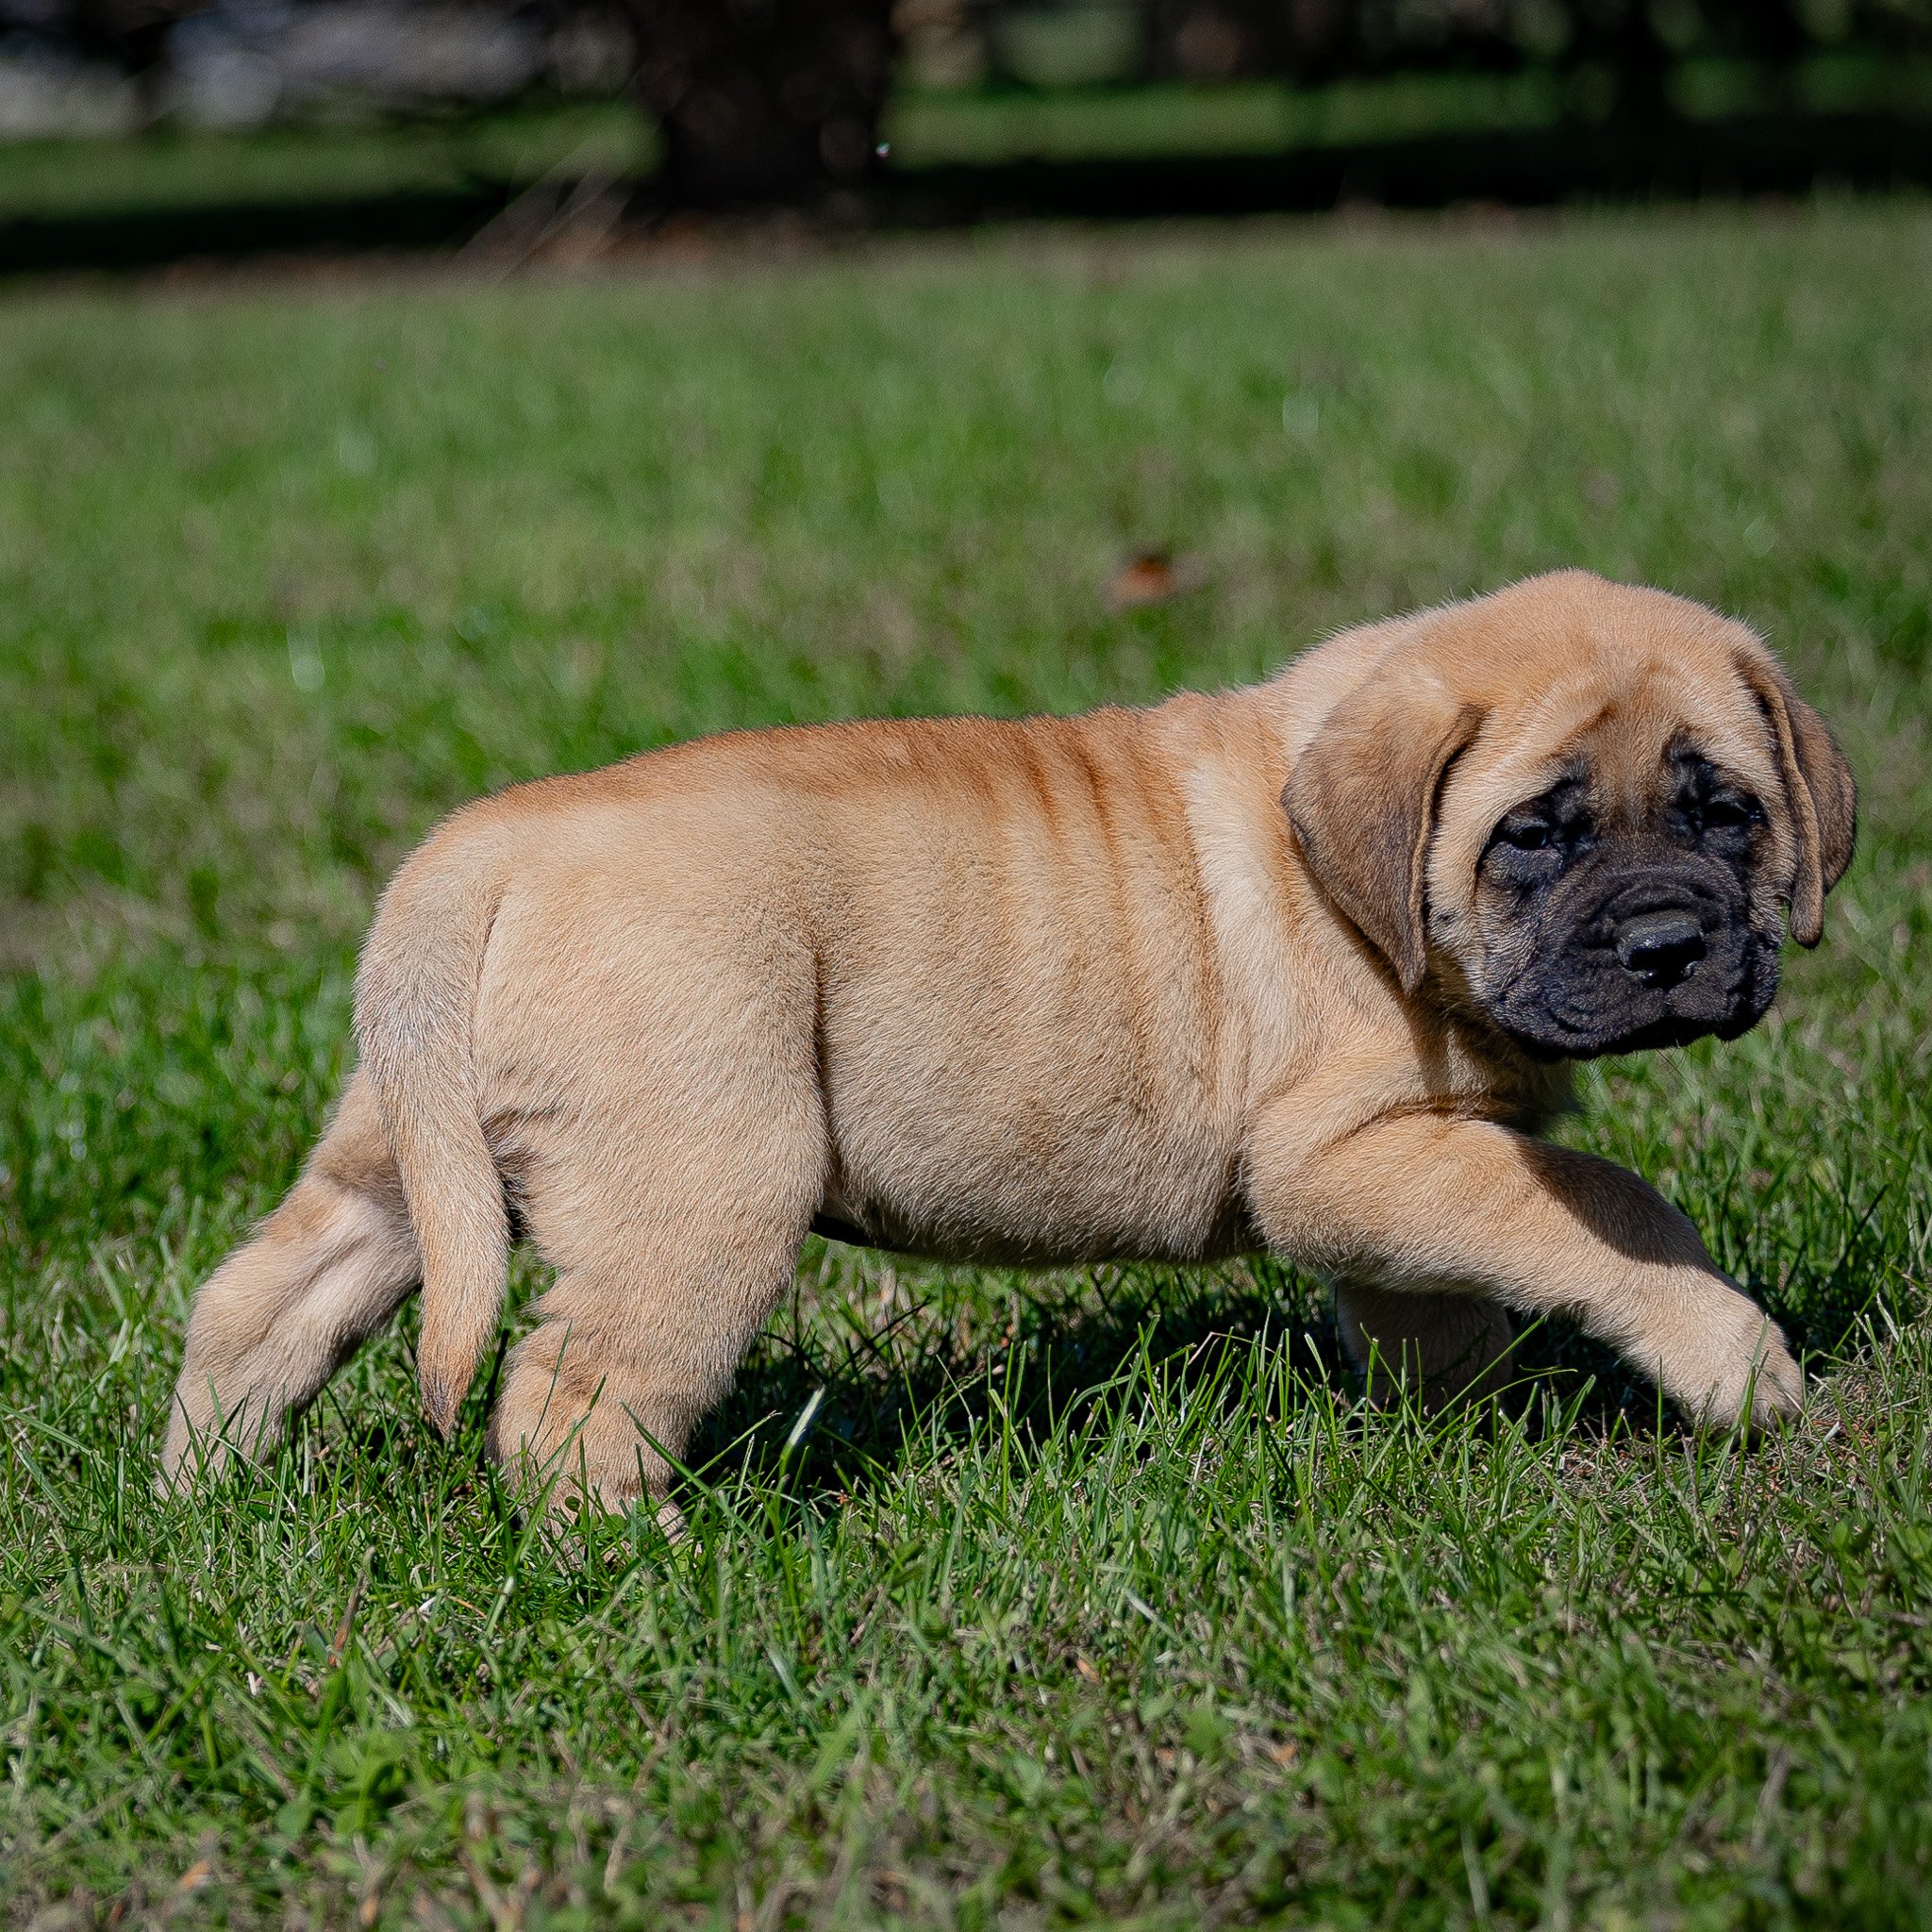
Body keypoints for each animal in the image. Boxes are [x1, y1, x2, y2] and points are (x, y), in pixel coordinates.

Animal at [162, 564, 1855, 1514]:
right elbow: (1607, 1212)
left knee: (270, 1292)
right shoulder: (1345, 1157)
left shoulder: (1396, 1174)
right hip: (700, 1190)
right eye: (1535, 834)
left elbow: (1439, 1303)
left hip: (412, 1147)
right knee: (572, 1398)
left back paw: (201, 1494)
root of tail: (481, 850)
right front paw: (1738, 1365)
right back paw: (644, 1557)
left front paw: (1464, 1432)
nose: (1669, 947)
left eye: (1725, 810)